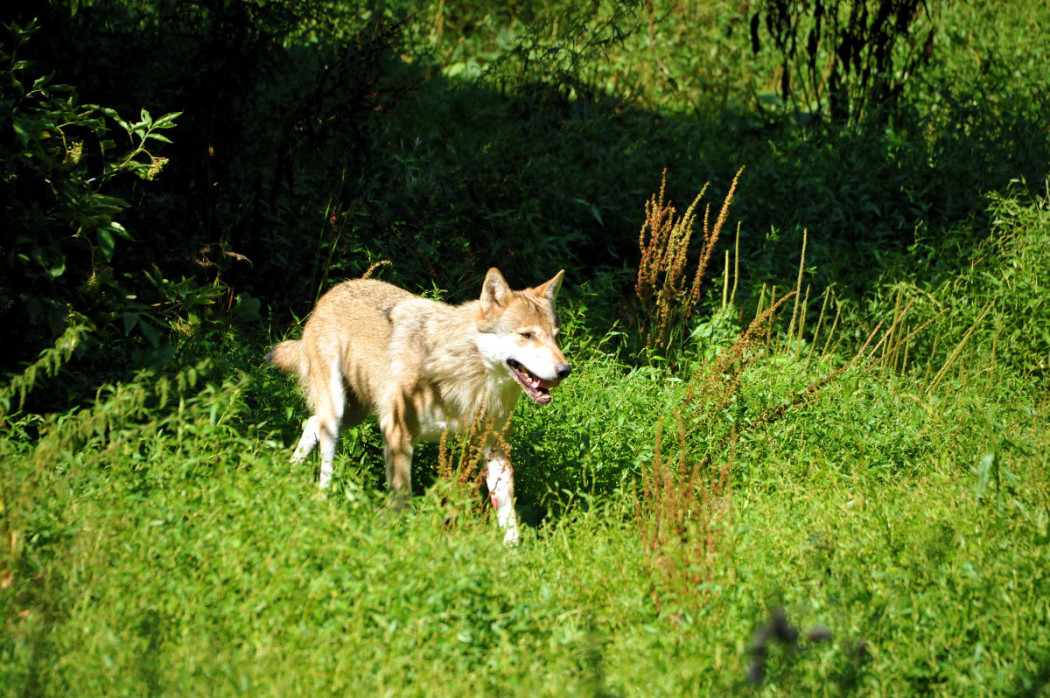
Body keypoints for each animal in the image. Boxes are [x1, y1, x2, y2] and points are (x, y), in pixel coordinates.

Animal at [267, 268, 571, 543]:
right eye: (527, 335)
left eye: (555, 336)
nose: (565, 370)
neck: (469, 378)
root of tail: (334, 290)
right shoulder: (397, 433)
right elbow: (401, 500)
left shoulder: (494, 448)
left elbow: (508, 516)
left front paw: (513, 556)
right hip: (337, 410)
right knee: (325, 452)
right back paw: (322, 497)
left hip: (353, 413)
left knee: (310, 423)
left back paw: (290, 470)